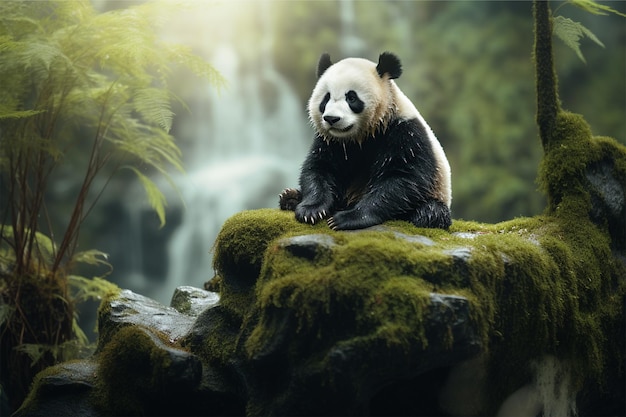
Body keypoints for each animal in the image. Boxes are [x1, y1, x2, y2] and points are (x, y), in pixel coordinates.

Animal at [278, 52, 448, 231]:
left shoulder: (405, 132)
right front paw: (311, 210)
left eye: (351, 97)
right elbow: (319, 167)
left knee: (433, 211)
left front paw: (347, 218)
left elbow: (402, 180)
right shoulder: (331, 141)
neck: (362, 135)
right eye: (326, 98)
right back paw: (290, 197)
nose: (331, 119)